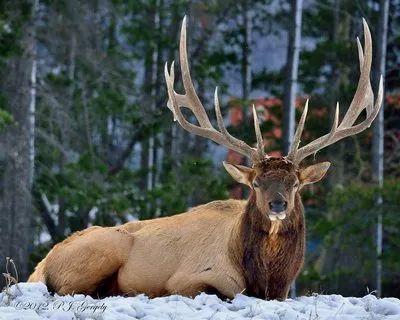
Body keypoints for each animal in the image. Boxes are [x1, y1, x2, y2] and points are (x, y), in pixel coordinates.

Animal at [29, 18, 382, 300]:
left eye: (295, 183)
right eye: (256, 183)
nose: (278, 204)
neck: (265, 277)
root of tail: (41, 265)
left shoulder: (283, 291)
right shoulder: (188, 279)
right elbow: (218, 291)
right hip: (104, 249)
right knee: (70, 288)